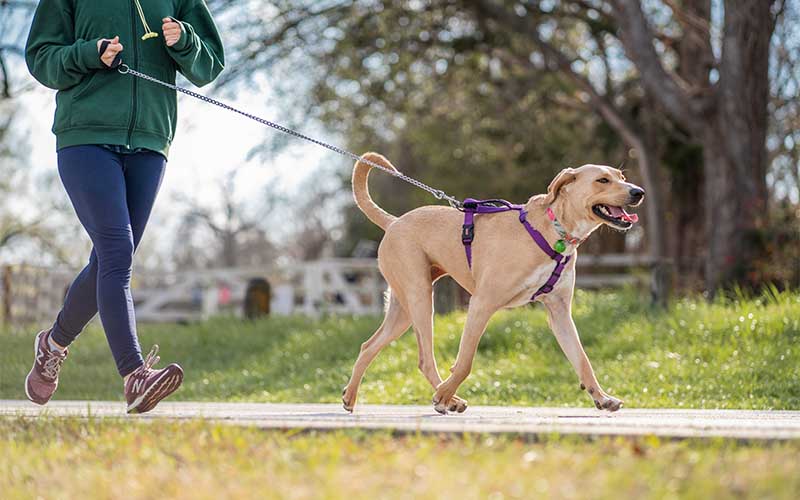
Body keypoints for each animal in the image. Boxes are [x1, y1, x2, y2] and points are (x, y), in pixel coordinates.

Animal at [342, 152, 644, 414]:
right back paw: (447, 397)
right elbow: (465, 362)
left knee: (369, 346)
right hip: (420, 297)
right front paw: (443, 395)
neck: (555, 231)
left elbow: (582, 360)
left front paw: (602, 398)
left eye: (621, 176)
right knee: (425, 359)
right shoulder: (482, 303)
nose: (638, 192)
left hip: (402, 310)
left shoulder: (559, 313)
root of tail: (394, 222)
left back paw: (350, 396)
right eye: (602, 180)